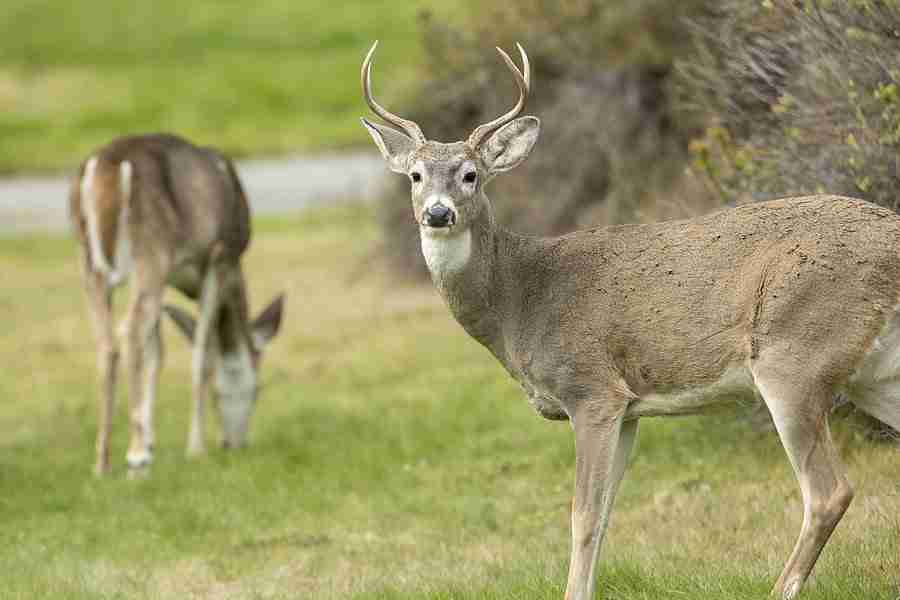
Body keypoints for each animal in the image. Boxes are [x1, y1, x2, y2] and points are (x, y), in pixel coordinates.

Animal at [69, 133, 285, 477]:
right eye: (256, 391)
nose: (234, 444)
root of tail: (106, 166)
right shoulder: (218, 258)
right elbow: (202, 354)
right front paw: (193, 448)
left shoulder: (170, 277)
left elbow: (157, 352)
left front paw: (151, 440)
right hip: (151, 250)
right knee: (130, 331)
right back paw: (134, 457)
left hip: (89, 261)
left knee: (107, 343)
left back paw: (102, 462)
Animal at [360, 41, 900, 599]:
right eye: (416, 176)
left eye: (470, 175)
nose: (438, 213)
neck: (519, 300)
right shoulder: (630, 410)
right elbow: (605, 514)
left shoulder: (592, 391)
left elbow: (582, 514)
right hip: (873, 373)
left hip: (794, 353)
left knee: (829, 492)